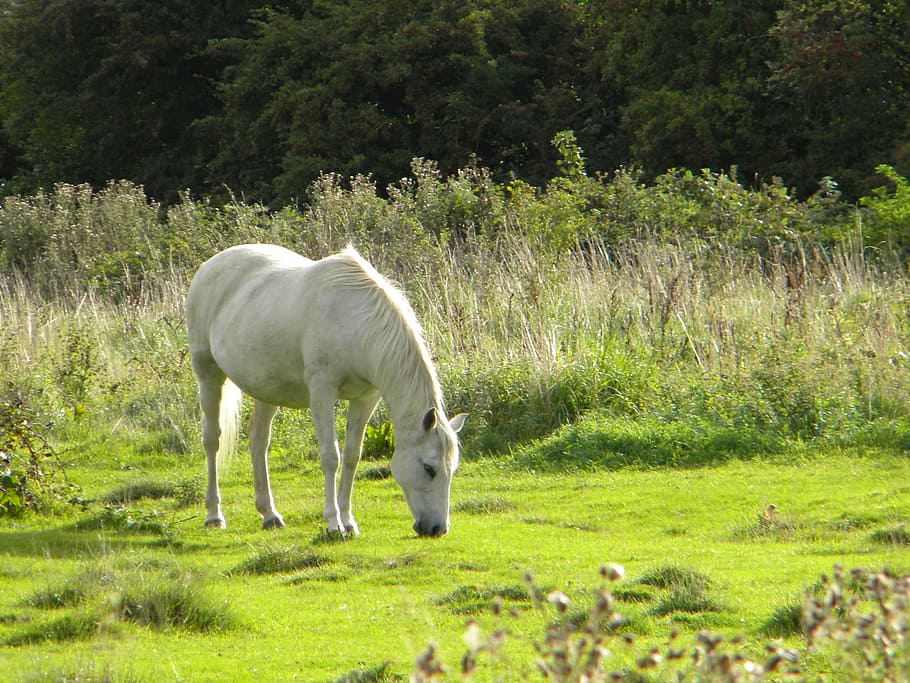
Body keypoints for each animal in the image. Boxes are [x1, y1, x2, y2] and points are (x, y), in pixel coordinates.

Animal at [185, 244, 467, 537]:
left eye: (452, 469)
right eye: (429, 468)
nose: (437, 528)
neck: (355, 323)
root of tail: (210, 265)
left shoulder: (366, 398)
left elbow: (352, 456)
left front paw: (349, 521)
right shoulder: (322, 390)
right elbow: (331, 456)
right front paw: (334, 523)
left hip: (266, 389)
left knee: (258, 441)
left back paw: (270, 514)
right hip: (208, 375)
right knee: (212, 440)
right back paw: (214, 515)